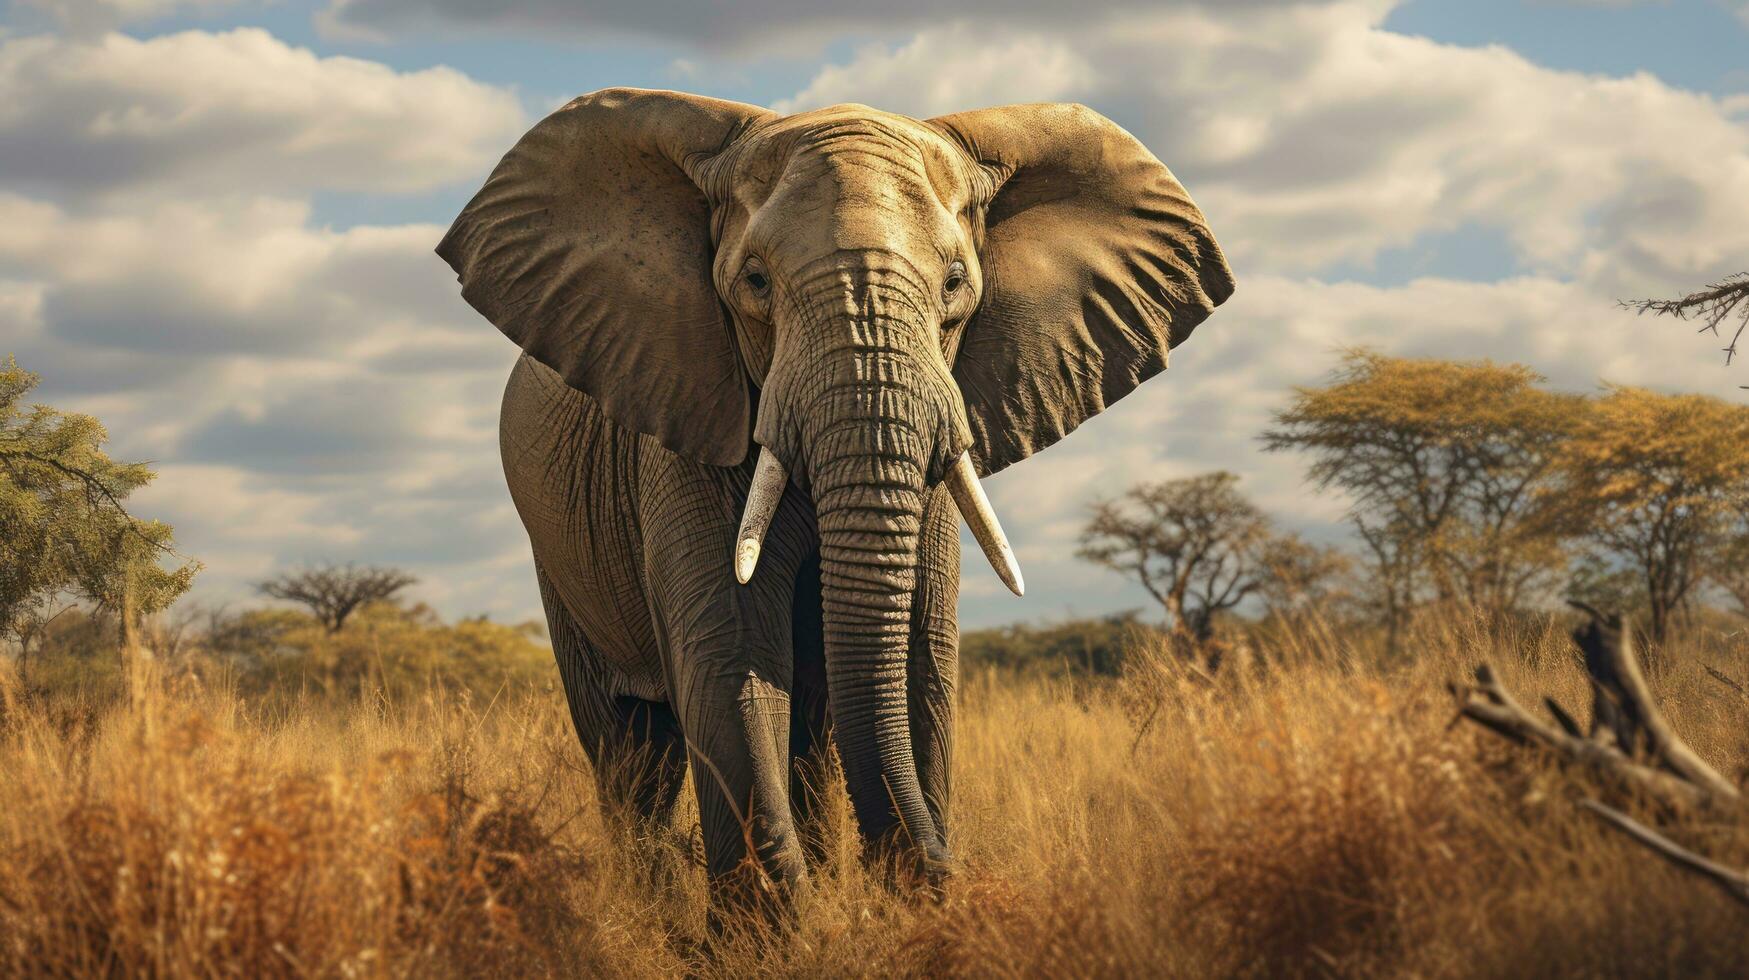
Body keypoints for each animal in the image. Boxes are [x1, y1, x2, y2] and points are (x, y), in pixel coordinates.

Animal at [437, 86, 1231, 910]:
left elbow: (917, 654)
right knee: (630, 749)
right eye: (754, 283)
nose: (940, 873)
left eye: (954, 283)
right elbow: (733, 652)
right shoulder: (687, 422)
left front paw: (890, 908)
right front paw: (779, 924)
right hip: (558, 552)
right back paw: (653, 906)